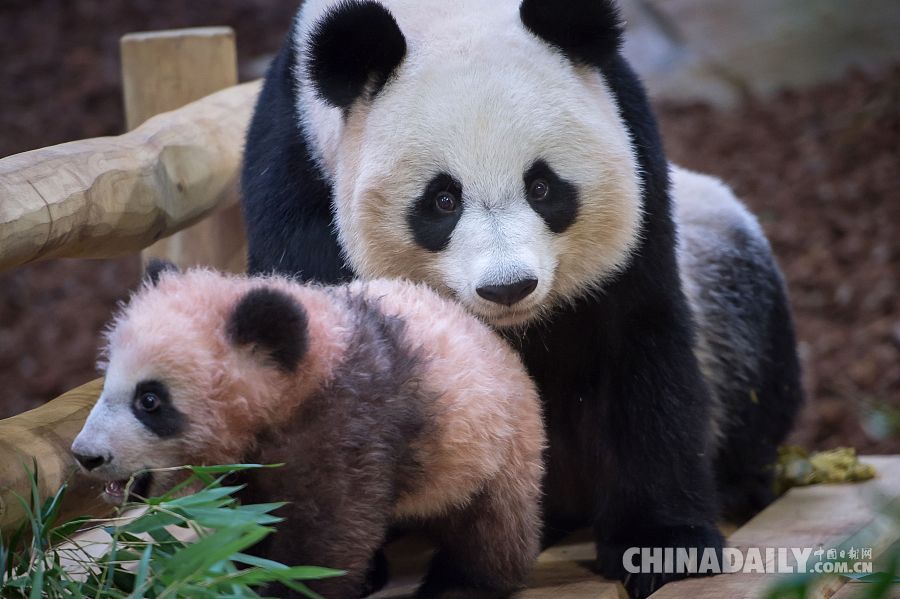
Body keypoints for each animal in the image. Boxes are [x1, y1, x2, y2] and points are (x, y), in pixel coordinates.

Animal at [239, 1, 800, 596]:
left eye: (542, 186)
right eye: (442, 200)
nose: (507, 287)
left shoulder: (634, 150)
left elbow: (637, 338)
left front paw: (664, 545)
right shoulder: (297, 174)